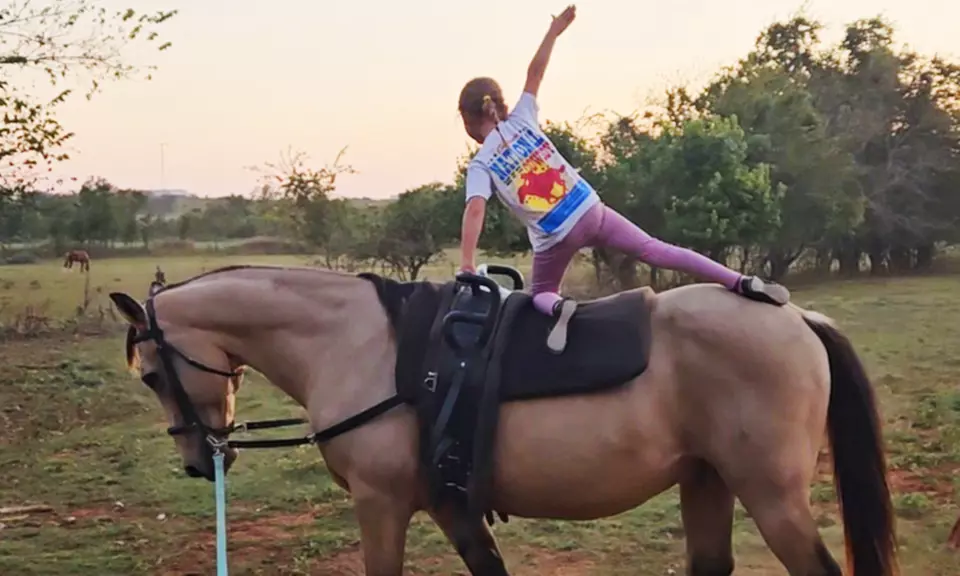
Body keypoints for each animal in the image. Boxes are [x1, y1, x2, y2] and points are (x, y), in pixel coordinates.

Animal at [108, 264, 898, 576]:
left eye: (151, 375)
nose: (197, 461)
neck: (357, 344)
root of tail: (797, 318)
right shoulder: (448, 502)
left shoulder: (381, 504)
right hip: (707, 481)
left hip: (772, 497)